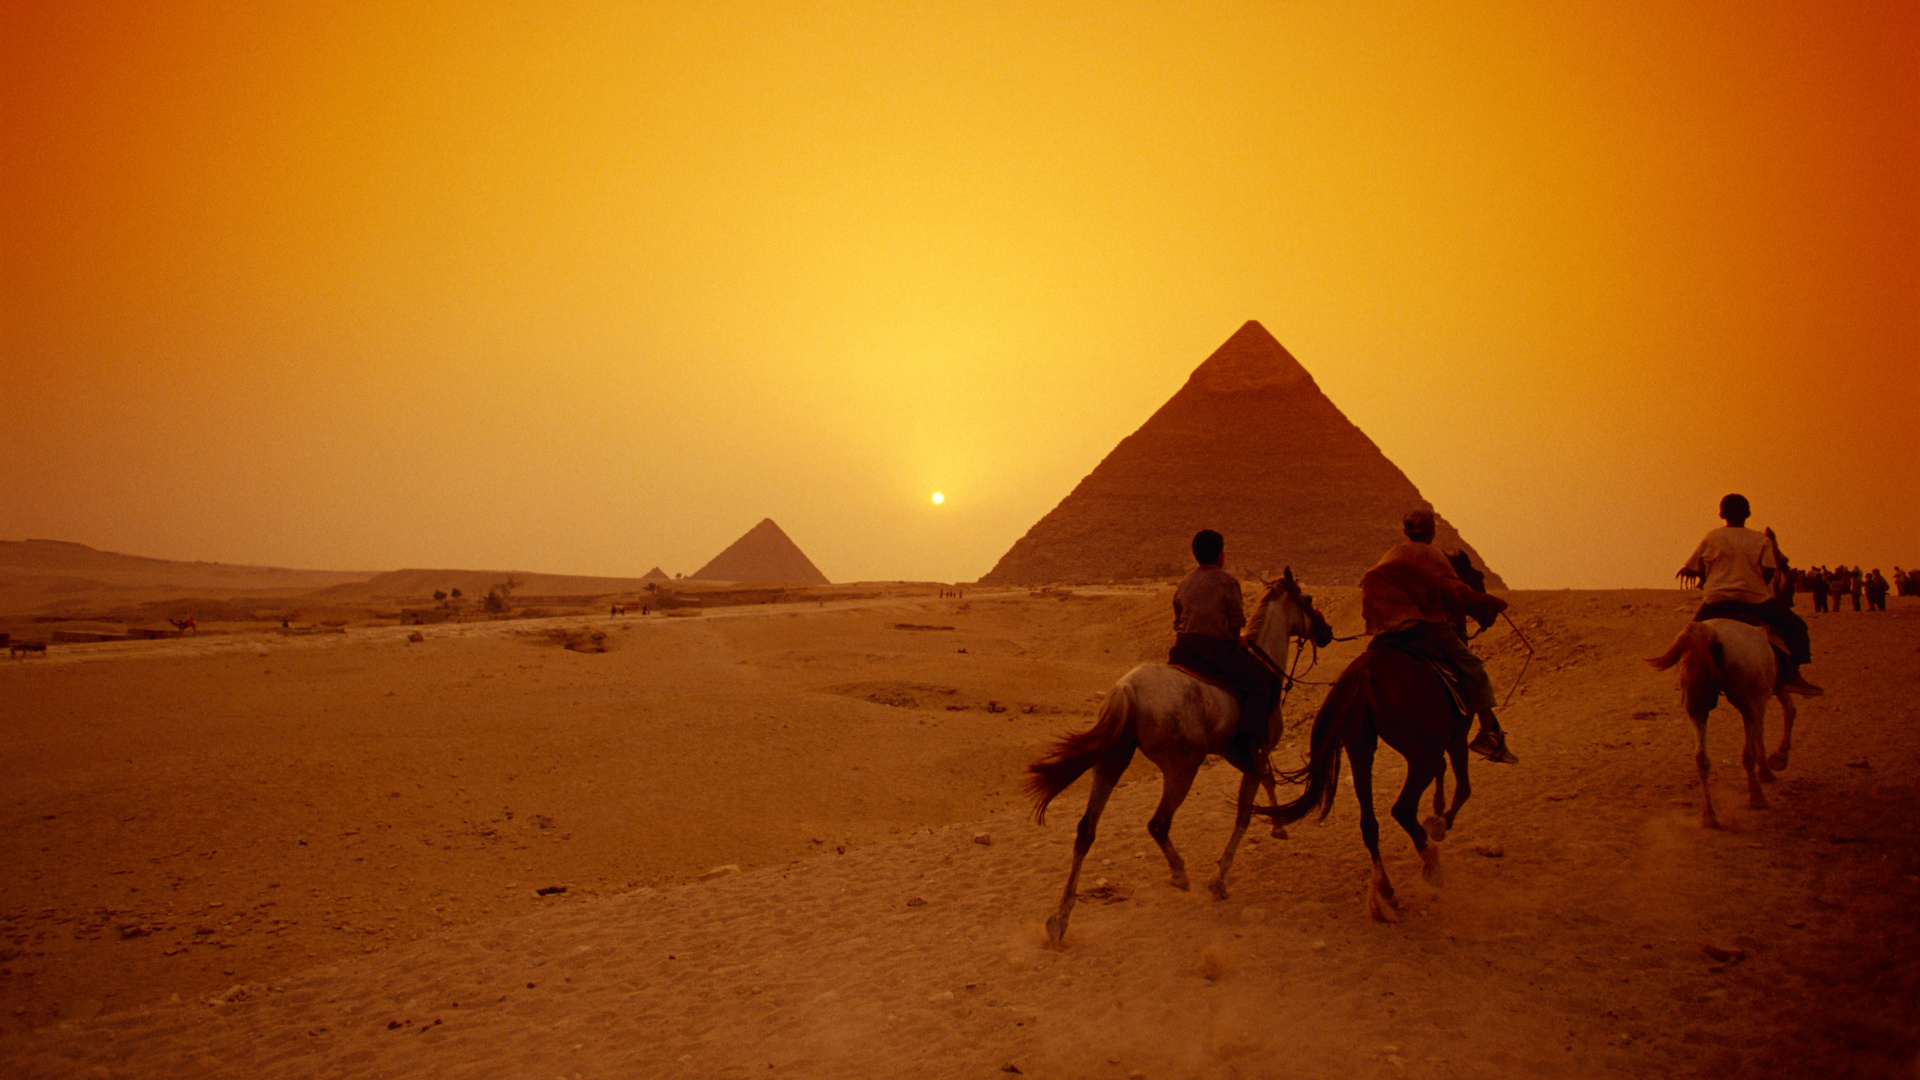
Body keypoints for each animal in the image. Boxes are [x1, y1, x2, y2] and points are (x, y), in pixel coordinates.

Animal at [1021, 568, 1336, 937]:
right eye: (1309, 598)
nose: (1327, 632)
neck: (1263, 663)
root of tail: (1127, 688)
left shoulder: (1239, 753)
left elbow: (1268, 781)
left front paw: (1278, 826)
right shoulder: (1254, 749)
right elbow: (1245, 812)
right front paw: (1219, 879)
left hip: (1113, 760)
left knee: (1086, 829)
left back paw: (1061, 917)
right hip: (1183, 766)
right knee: (1158, 824)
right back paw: (1179, 874)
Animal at [1651, 614, 1797, 822]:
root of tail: (1704, 633)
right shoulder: (1760, 698)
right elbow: (1774, 722)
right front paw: (1775, 760)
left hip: (1697, 704)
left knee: (1701, 757)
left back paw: (1709, 815)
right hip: (1750, 699)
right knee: (1748, 752)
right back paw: (1757, 797)